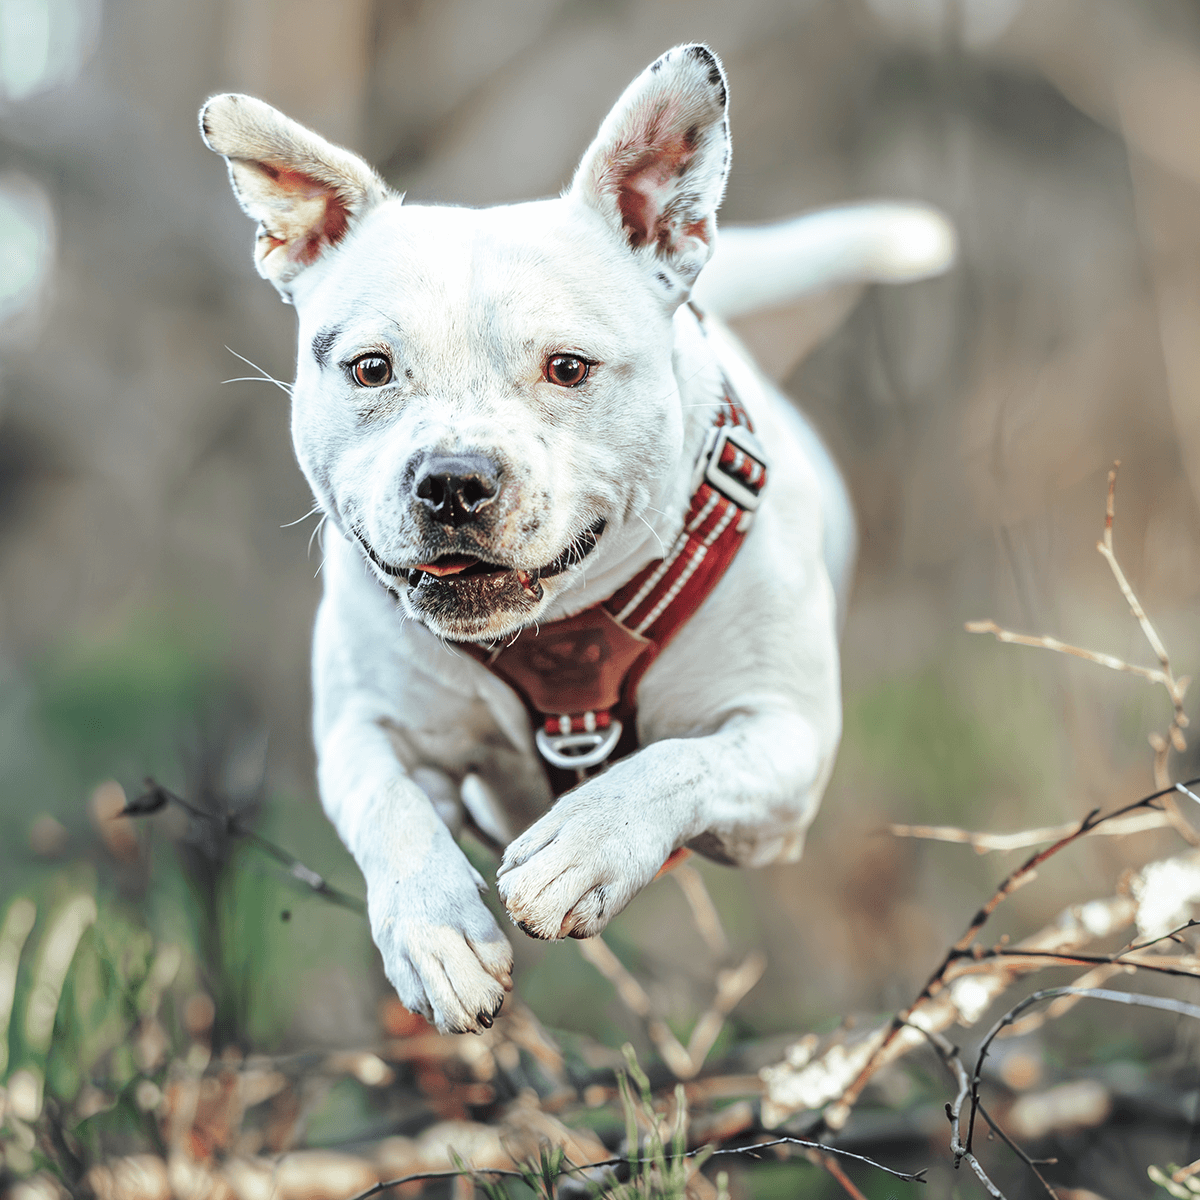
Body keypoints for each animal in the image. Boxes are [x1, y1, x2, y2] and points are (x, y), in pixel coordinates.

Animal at [199, 42, 955, 1027]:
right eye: (371, 368)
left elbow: (678, 761)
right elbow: (389, 808)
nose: (453, 480)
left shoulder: (785, 746)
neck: (557, 637)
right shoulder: (365, 729)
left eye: (567, 367)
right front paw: (434, 932)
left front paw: (586, 844)